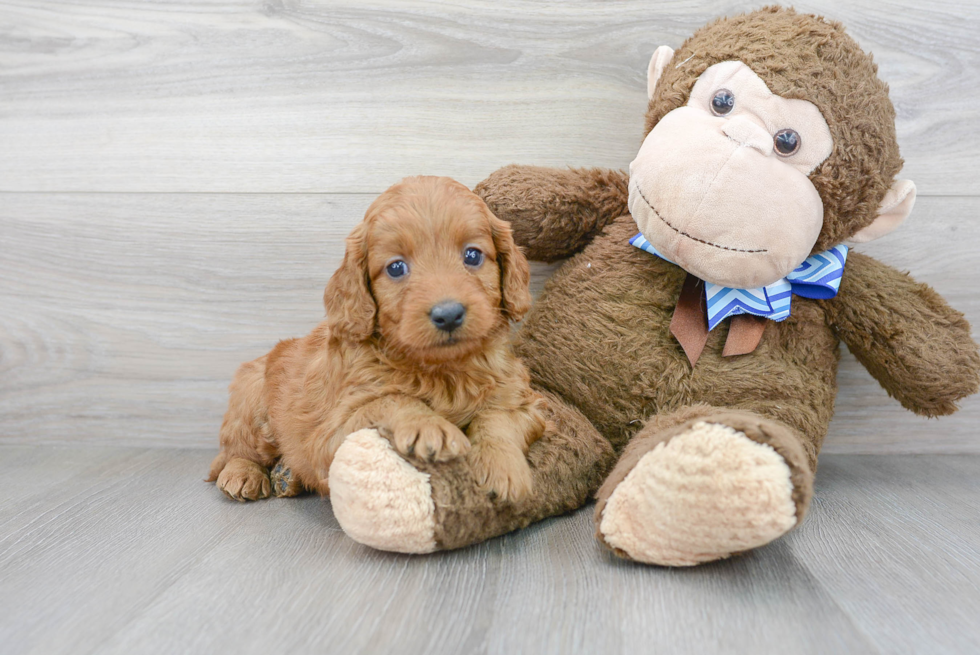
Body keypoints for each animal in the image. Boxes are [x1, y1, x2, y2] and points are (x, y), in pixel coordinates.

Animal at [209, 174, 544, 502]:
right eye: (396, 267)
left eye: (472, 255)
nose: (448, 314)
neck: (442, 370)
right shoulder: (330, 437)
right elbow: (390, 398)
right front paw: (428, 424)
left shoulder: (526, 403)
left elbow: (498, 418)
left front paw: (502, 465)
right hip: (251, 396)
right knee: (237, 450)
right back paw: (245, 474)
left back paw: (286, 475)